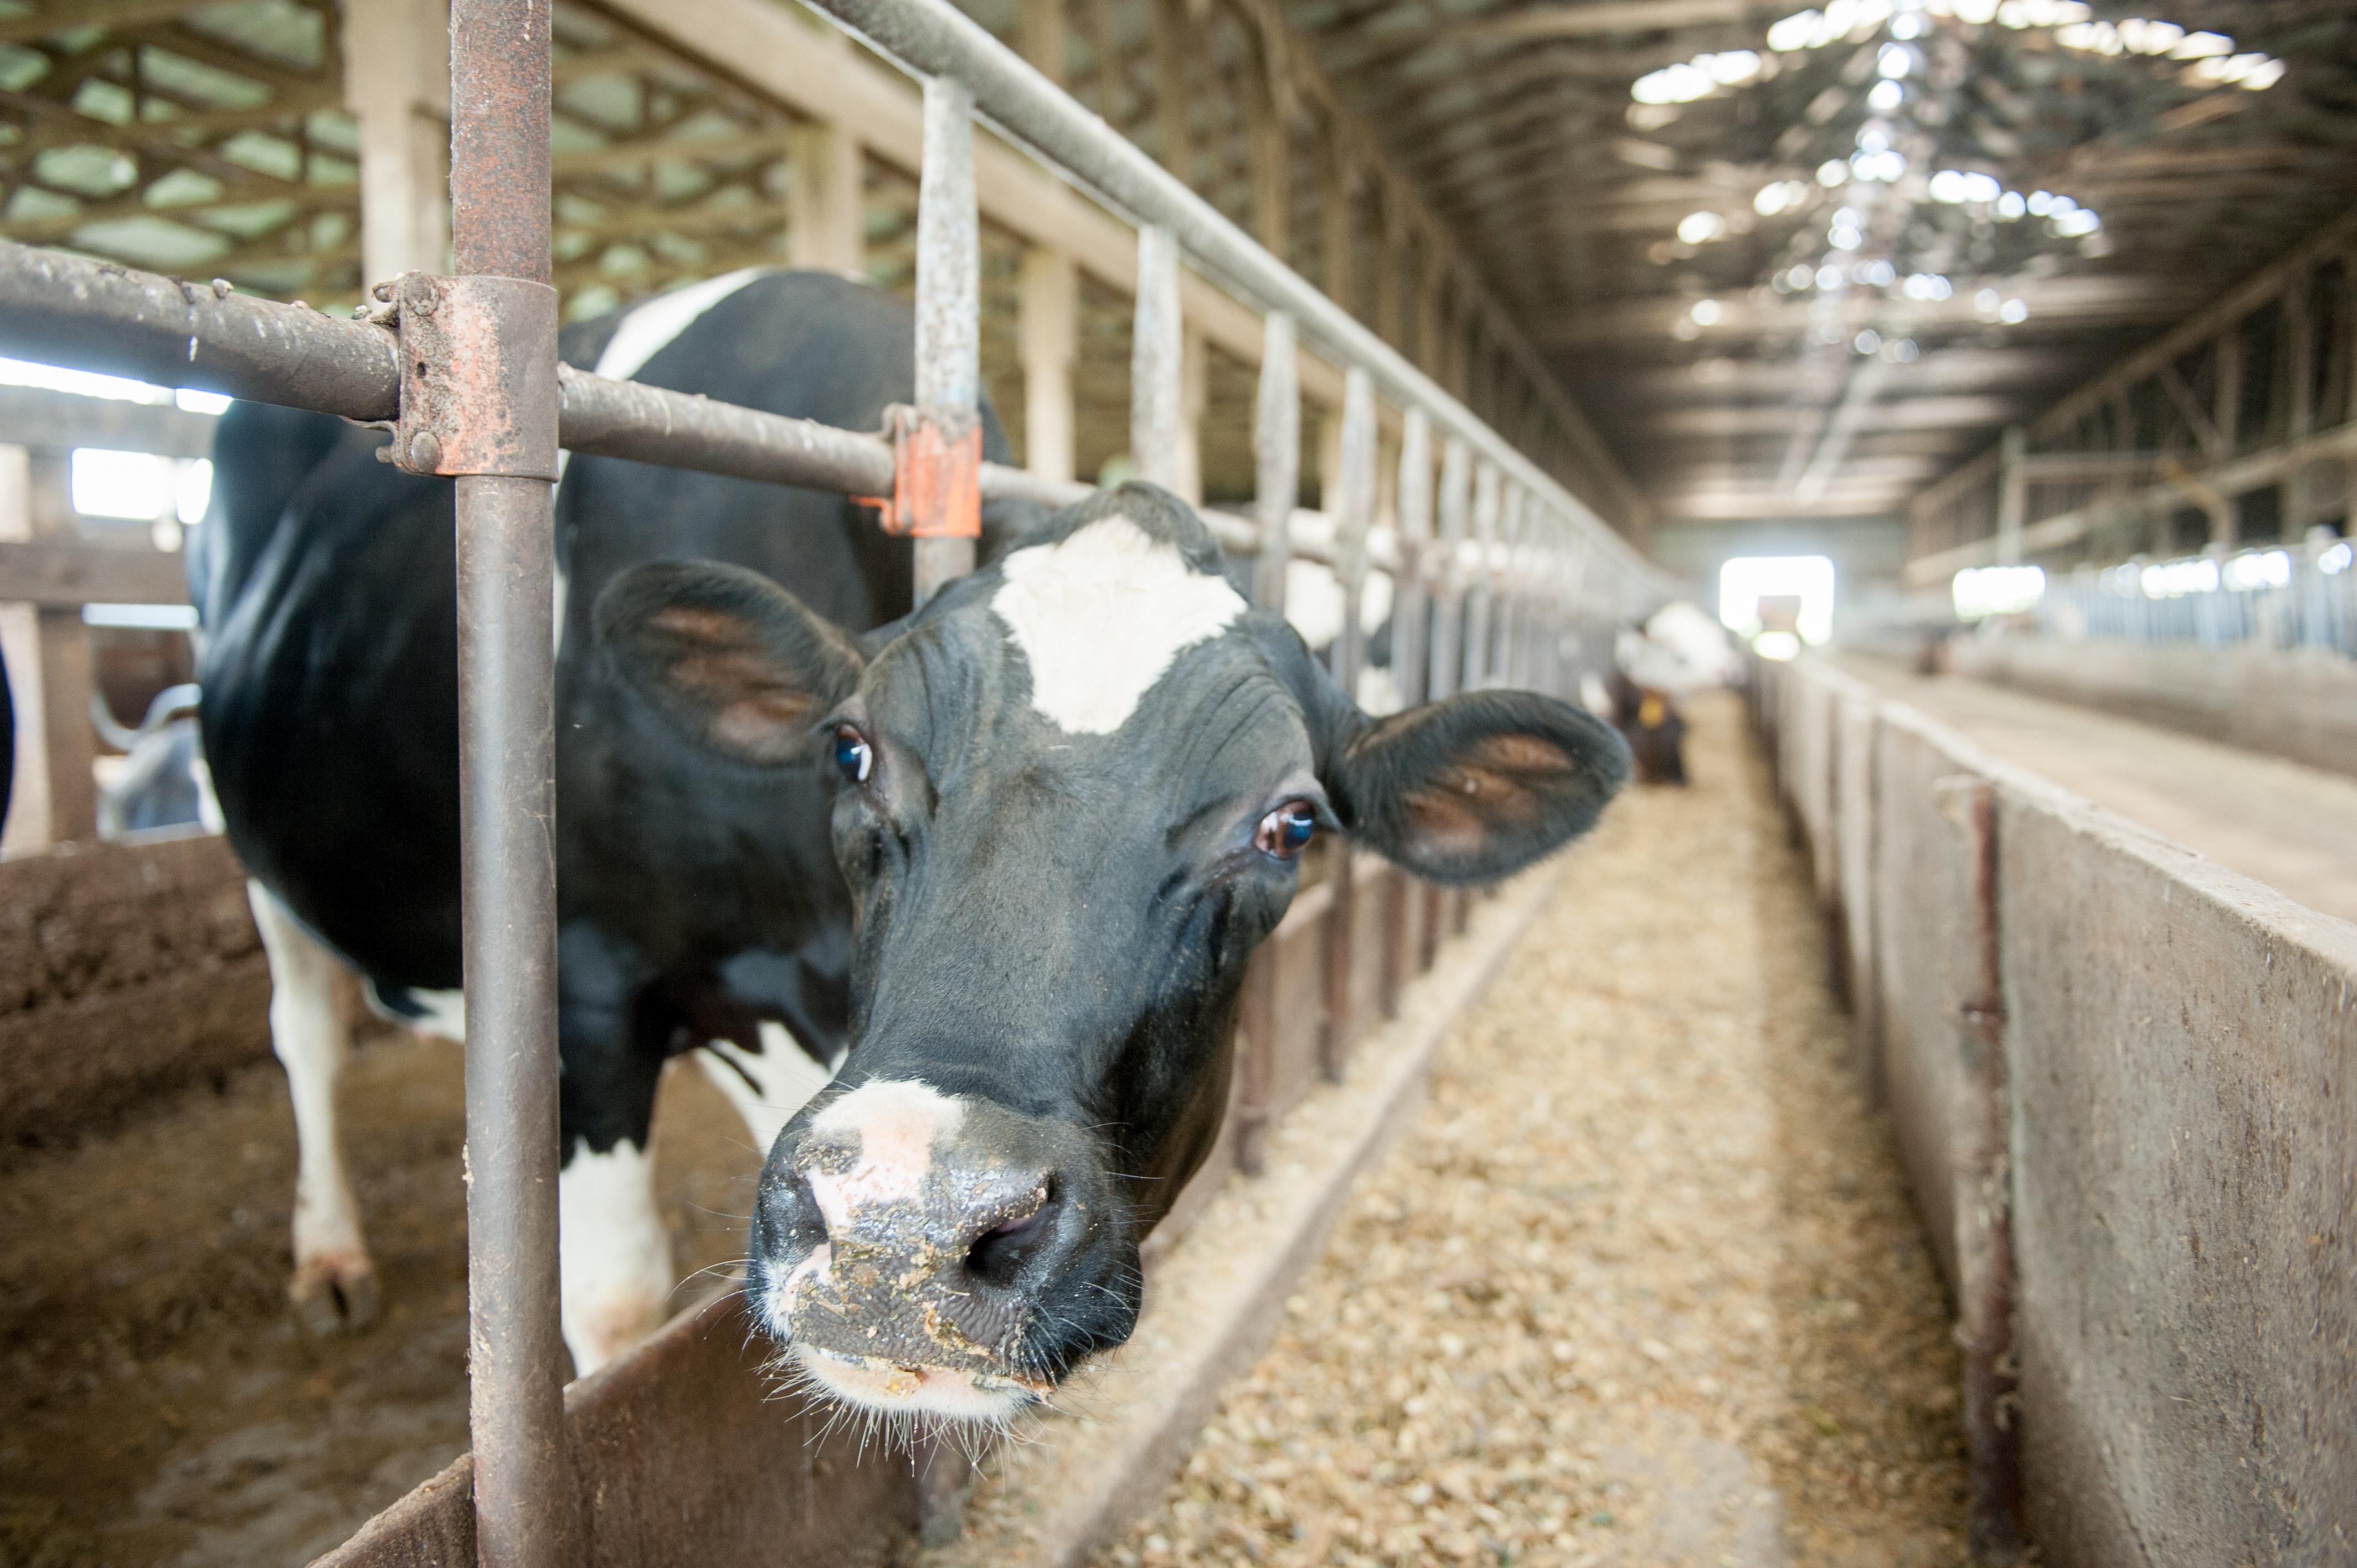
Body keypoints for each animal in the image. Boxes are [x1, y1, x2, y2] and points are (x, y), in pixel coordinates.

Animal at [203, 262, 1622, 1396]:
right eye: (851, 750)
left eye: (1290, 826)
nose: (904, 1232)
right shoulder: (588, 988)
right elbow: (612, 1299)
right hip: (262, 854)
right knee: (303, 1031)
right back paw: (328, 1253)